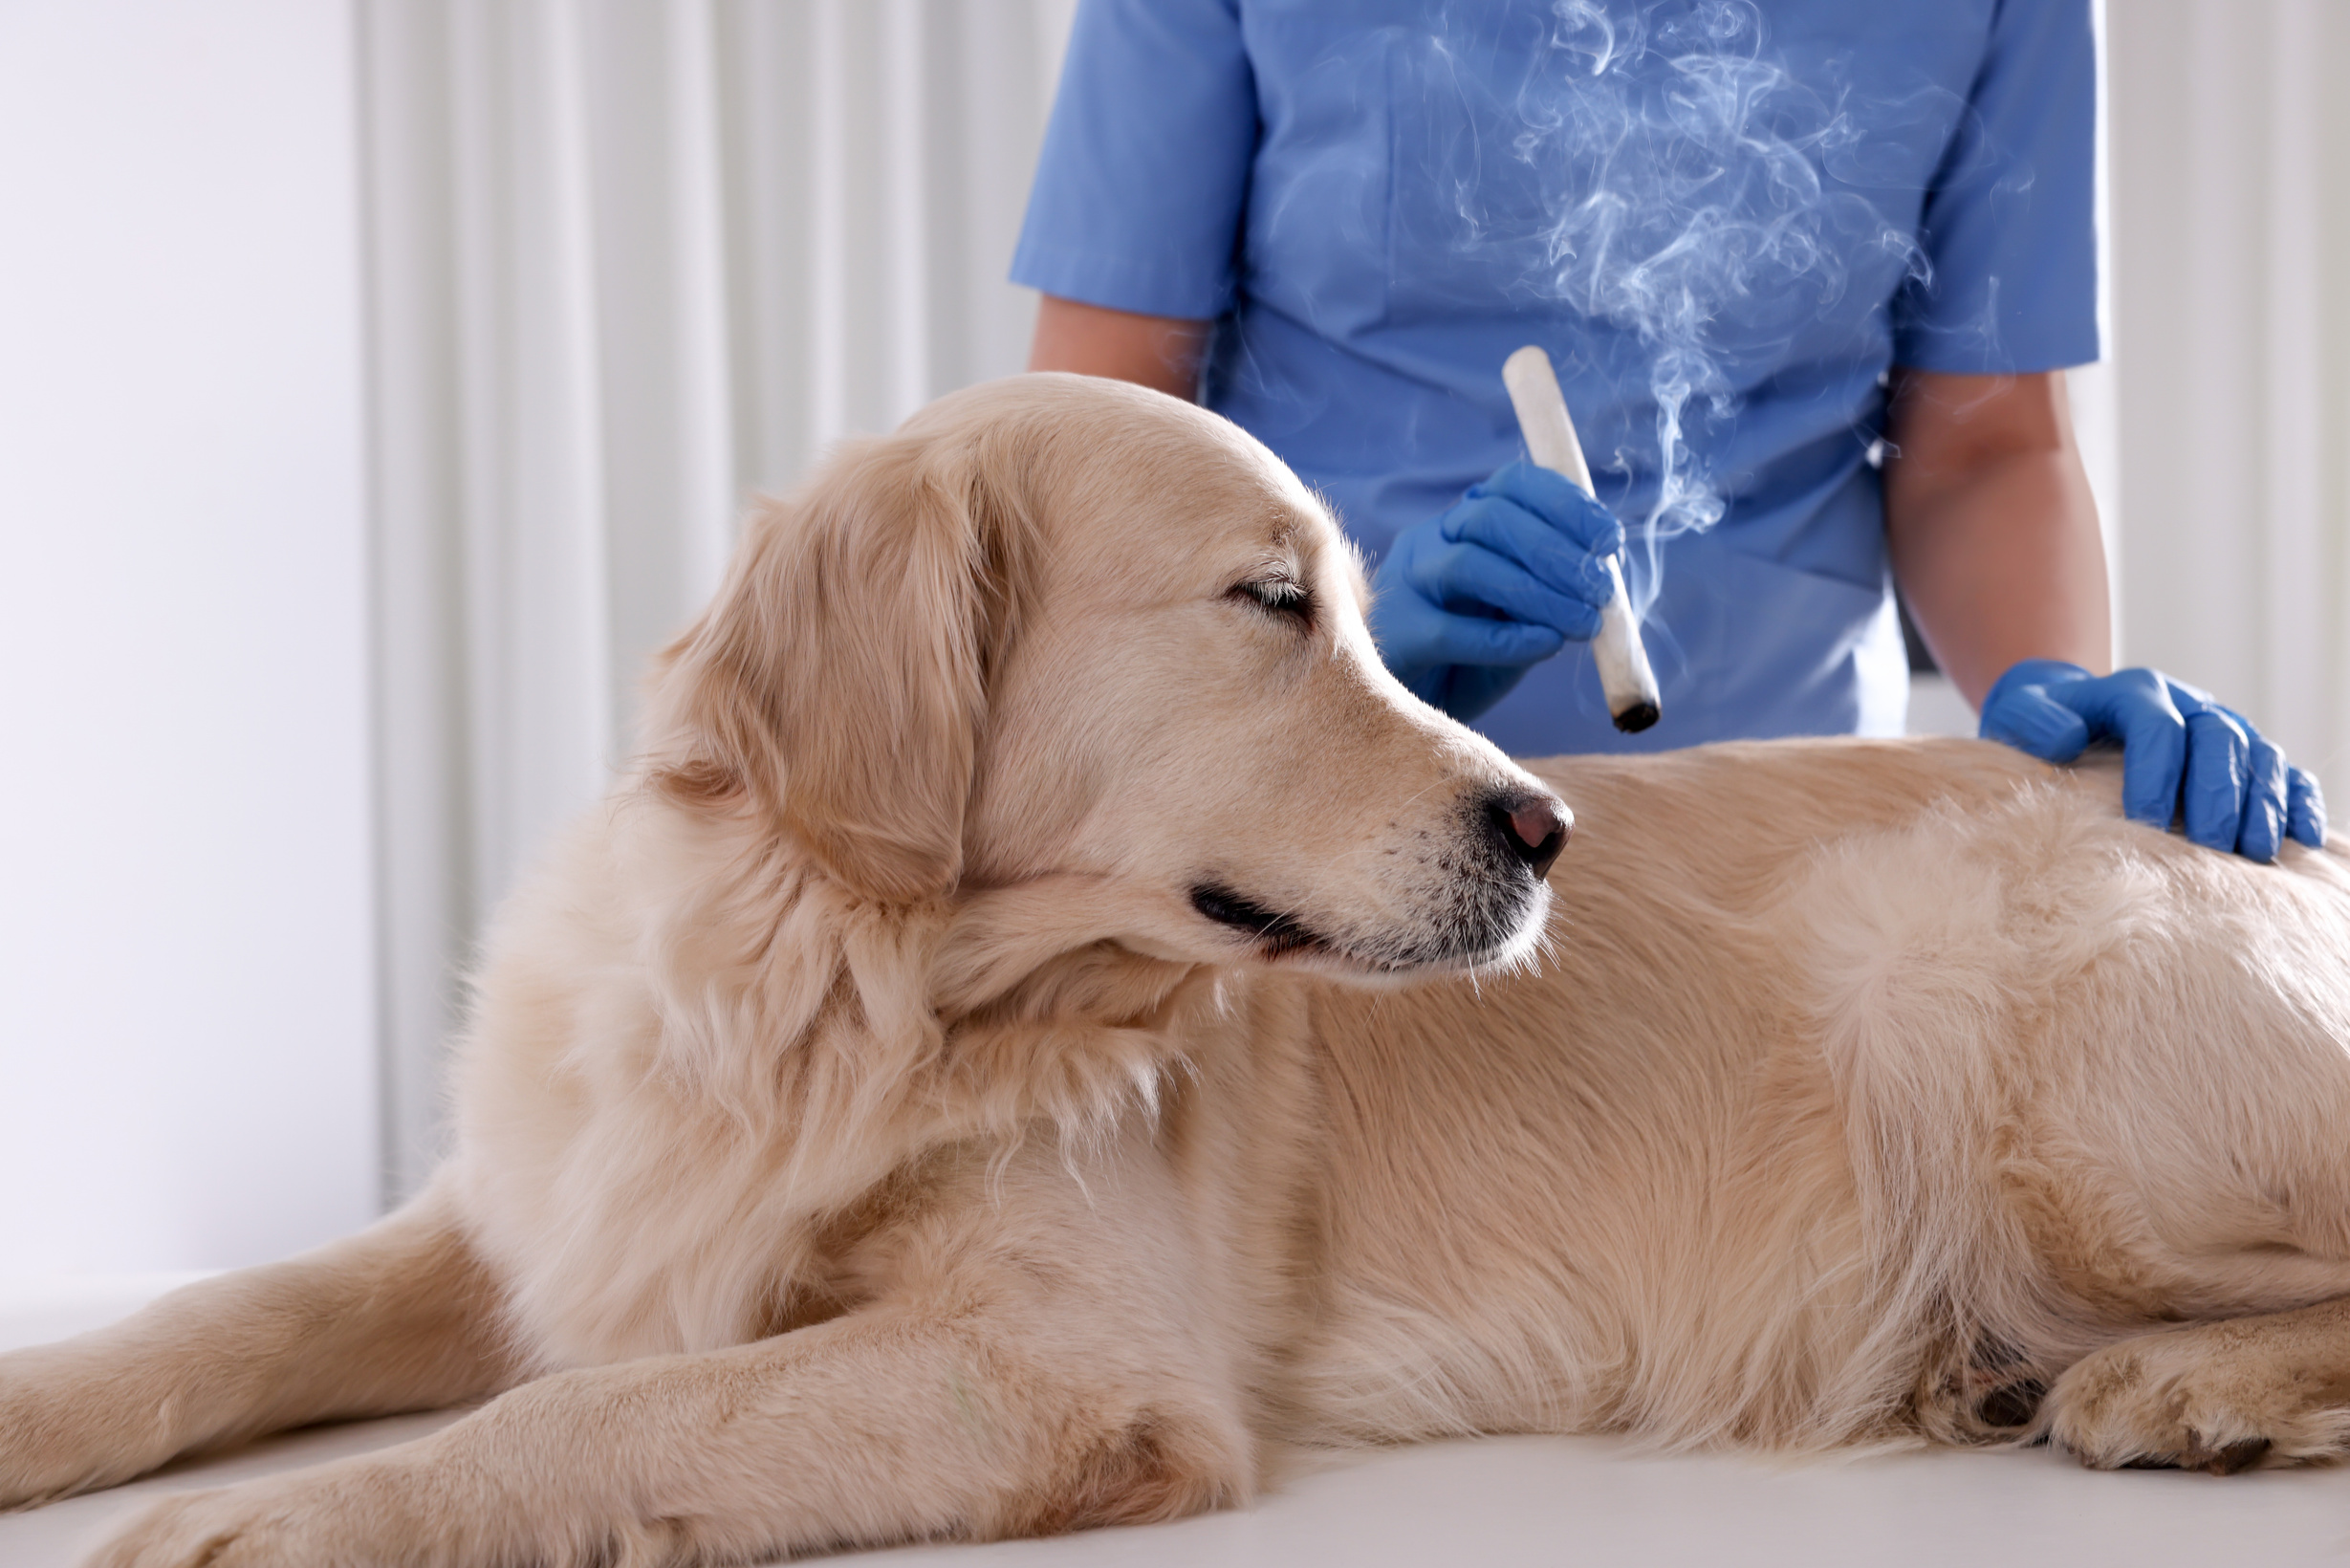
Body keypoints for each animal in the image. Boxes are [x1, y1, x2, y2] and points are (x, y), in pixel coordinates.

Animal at [13, 373, 2350, 1560]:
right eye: (1267, 602)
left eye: (1353, 608)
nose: (1548, 827)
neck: (837, 987)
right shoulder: (539, 1212)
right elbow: (224, 1315)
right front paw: (58, 1420)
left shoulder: (1066, 1361)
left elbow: (606, 1409)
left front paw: (288, 1523)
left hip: (1989, 1032)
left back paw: (2181, 1386)